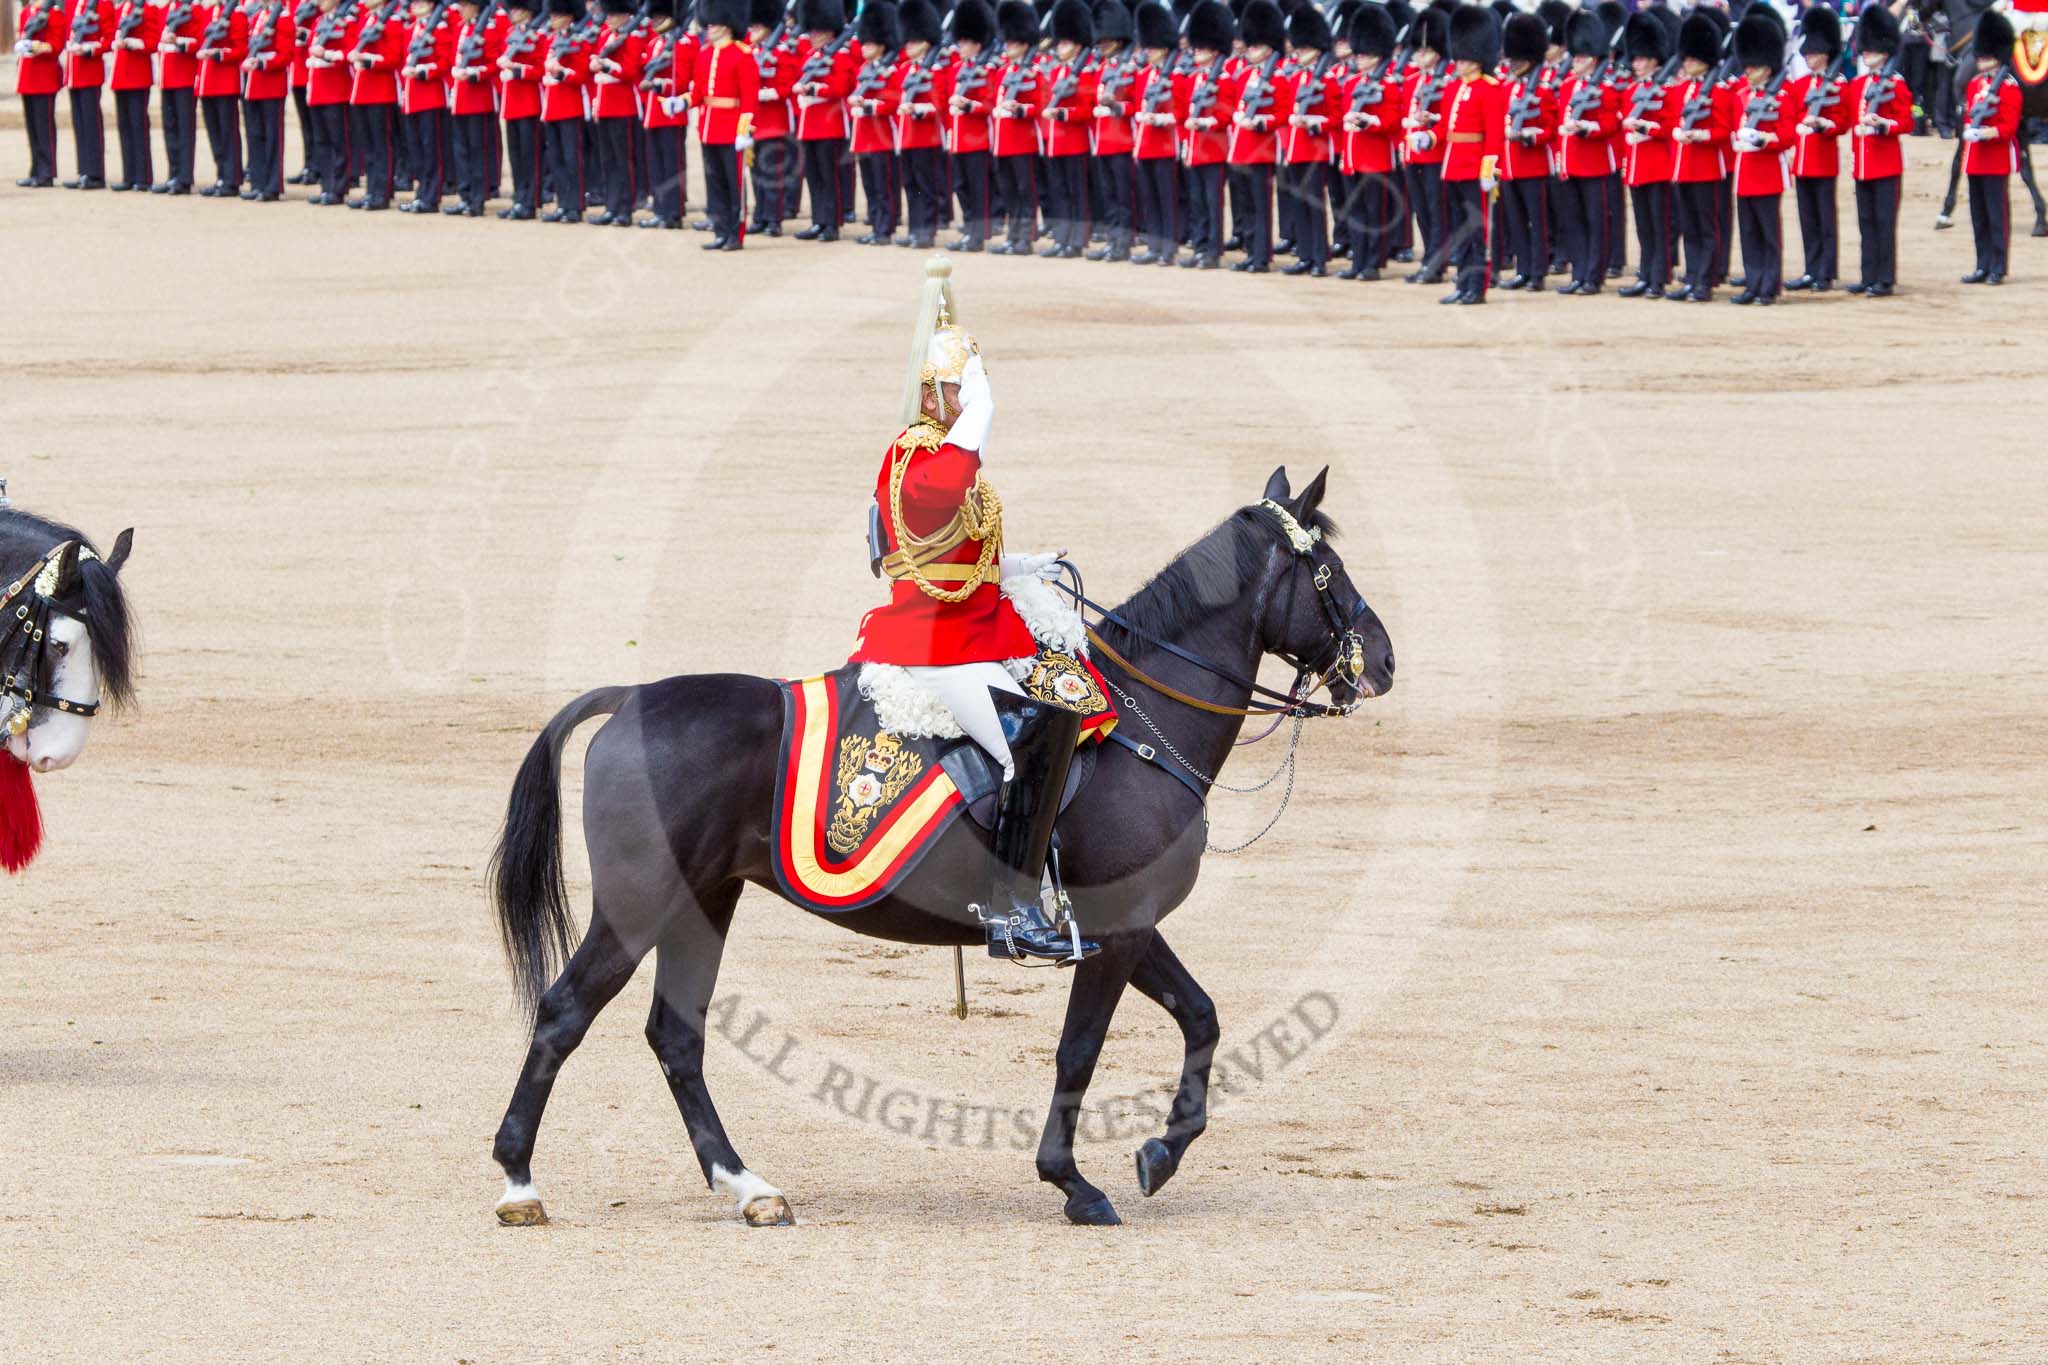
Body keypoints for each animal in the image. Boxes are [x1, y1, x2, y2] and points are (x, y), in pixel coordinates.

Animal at [487, 470, 1400, 1227]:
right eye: (1329, 573)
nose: (1385, 660)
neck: (1141, 720)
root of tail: (633, 697)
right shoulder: (1117, 927)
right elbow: (1081, 1049)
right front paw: (1073, 1180)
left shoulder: (1124, 926)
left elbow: (1201, 1017)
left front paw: (1161, 1154)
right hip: (638, 906)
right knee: (564, 1013)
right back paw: (519, 1180)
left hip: (704, 902)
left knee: (677, 1038)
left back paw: (747, 1185)